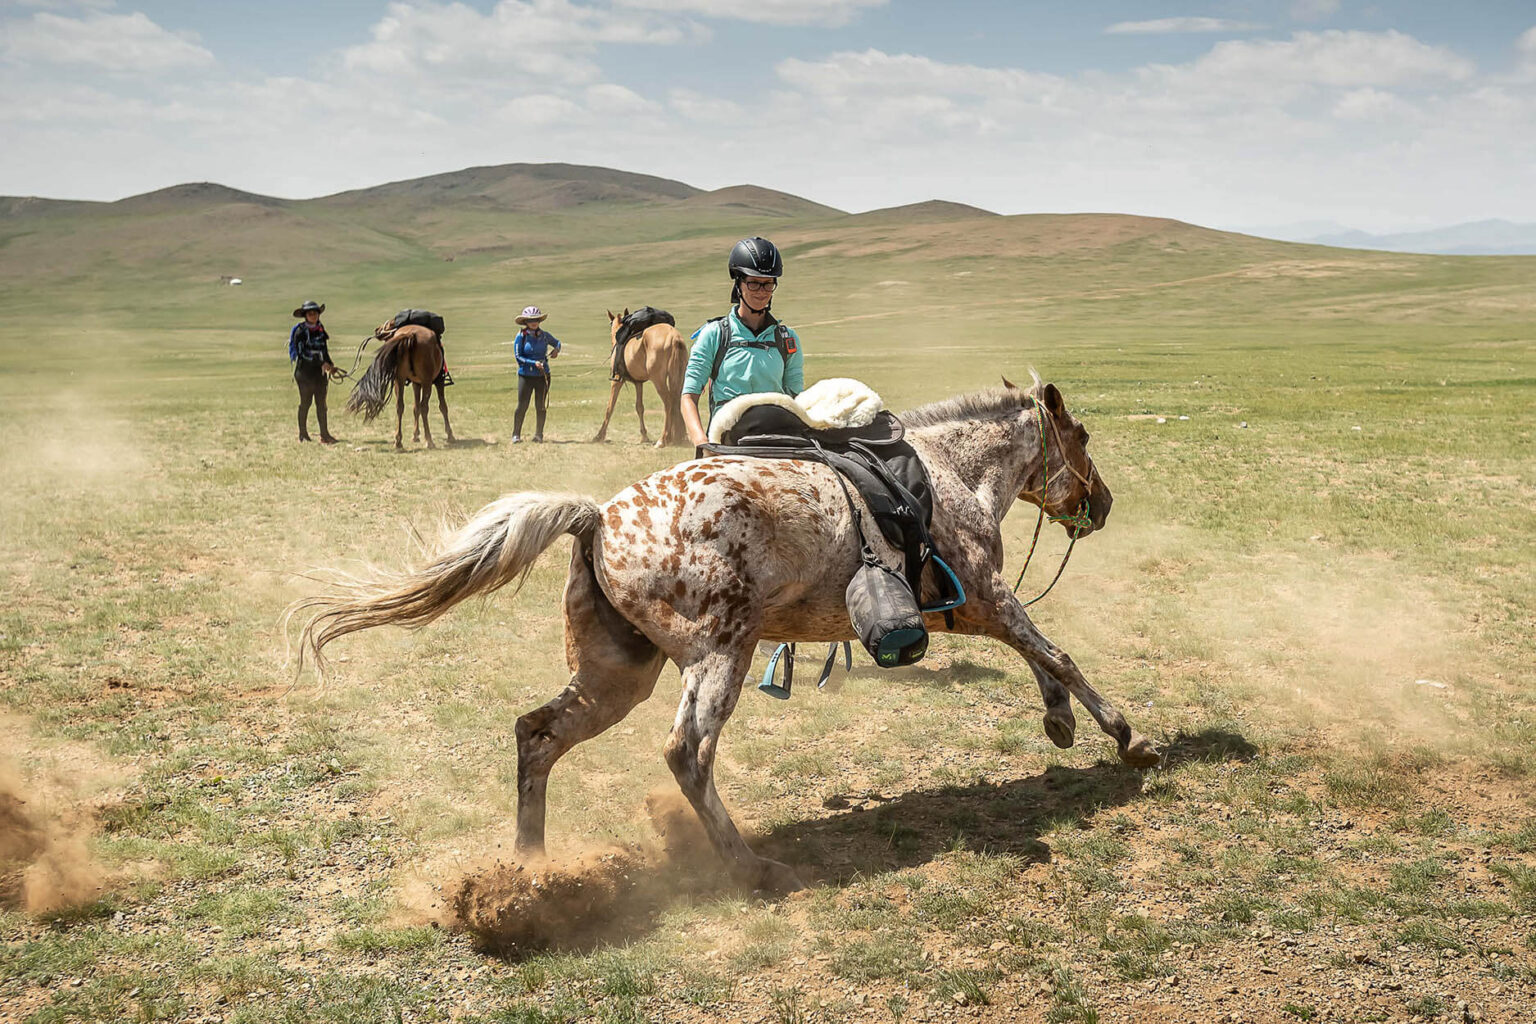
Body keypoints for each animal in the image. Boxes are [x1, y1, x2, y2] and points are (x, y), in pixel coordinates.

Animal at [296, 376, 1155, 890]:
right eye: (1081, 437)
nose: (1106, 504)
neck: (944, 471)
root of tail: (597, 516)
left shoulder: (972, 609)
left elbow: (1039, 657)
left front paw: (1060, 723)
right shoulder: (983, 597)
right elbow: (1057, 653)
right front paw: (1126, 737)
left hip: (618, 674)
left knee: (537, 735)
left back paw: (532, 866)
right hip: (719, 655)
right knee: (687, 753)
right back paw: (751, 867)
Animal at [351, 320, 457, 448]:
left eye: (389, 324)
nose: (377, 330)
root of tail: (410, 334)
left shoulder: (416, 383)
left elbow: (415, 408)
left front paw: (415, 435)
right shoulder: (438, 381)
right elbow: (443, 407)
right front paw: (450, 435)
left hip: (399, 380)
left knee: (400, 406)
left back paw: (398, 442)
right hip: (426, 382)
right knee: (424, 407)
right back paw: (429, 440)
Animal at [589, 307, 688, 445]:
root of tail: (674, 337)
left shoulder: (616, 381)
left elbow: (610, 407)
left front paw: (599, 436)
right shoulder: (638, 383)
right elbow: (639, 407)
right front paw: (644, 436)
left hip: (658, 380)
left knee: (668, 403)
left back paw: (663, 439)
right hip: (679, 376)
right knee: (677, 400)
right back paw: (677, 438)